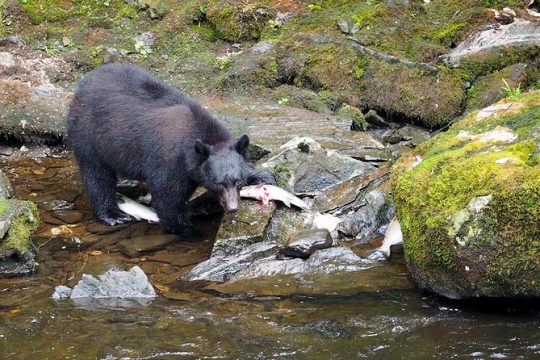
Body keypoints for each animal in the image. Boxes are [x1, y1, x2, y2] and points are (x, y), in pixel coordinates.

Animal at [67, 63, 276, 240]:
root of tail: (83, 84)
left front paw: (263, 176)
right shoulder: (169, 161)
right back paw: (113, 215)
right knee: (97, 176)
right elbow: (167, 198)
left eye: (238, 181)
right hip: (88, 135)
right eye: (219, 183)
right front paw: (189, 230)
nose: (232, 208)